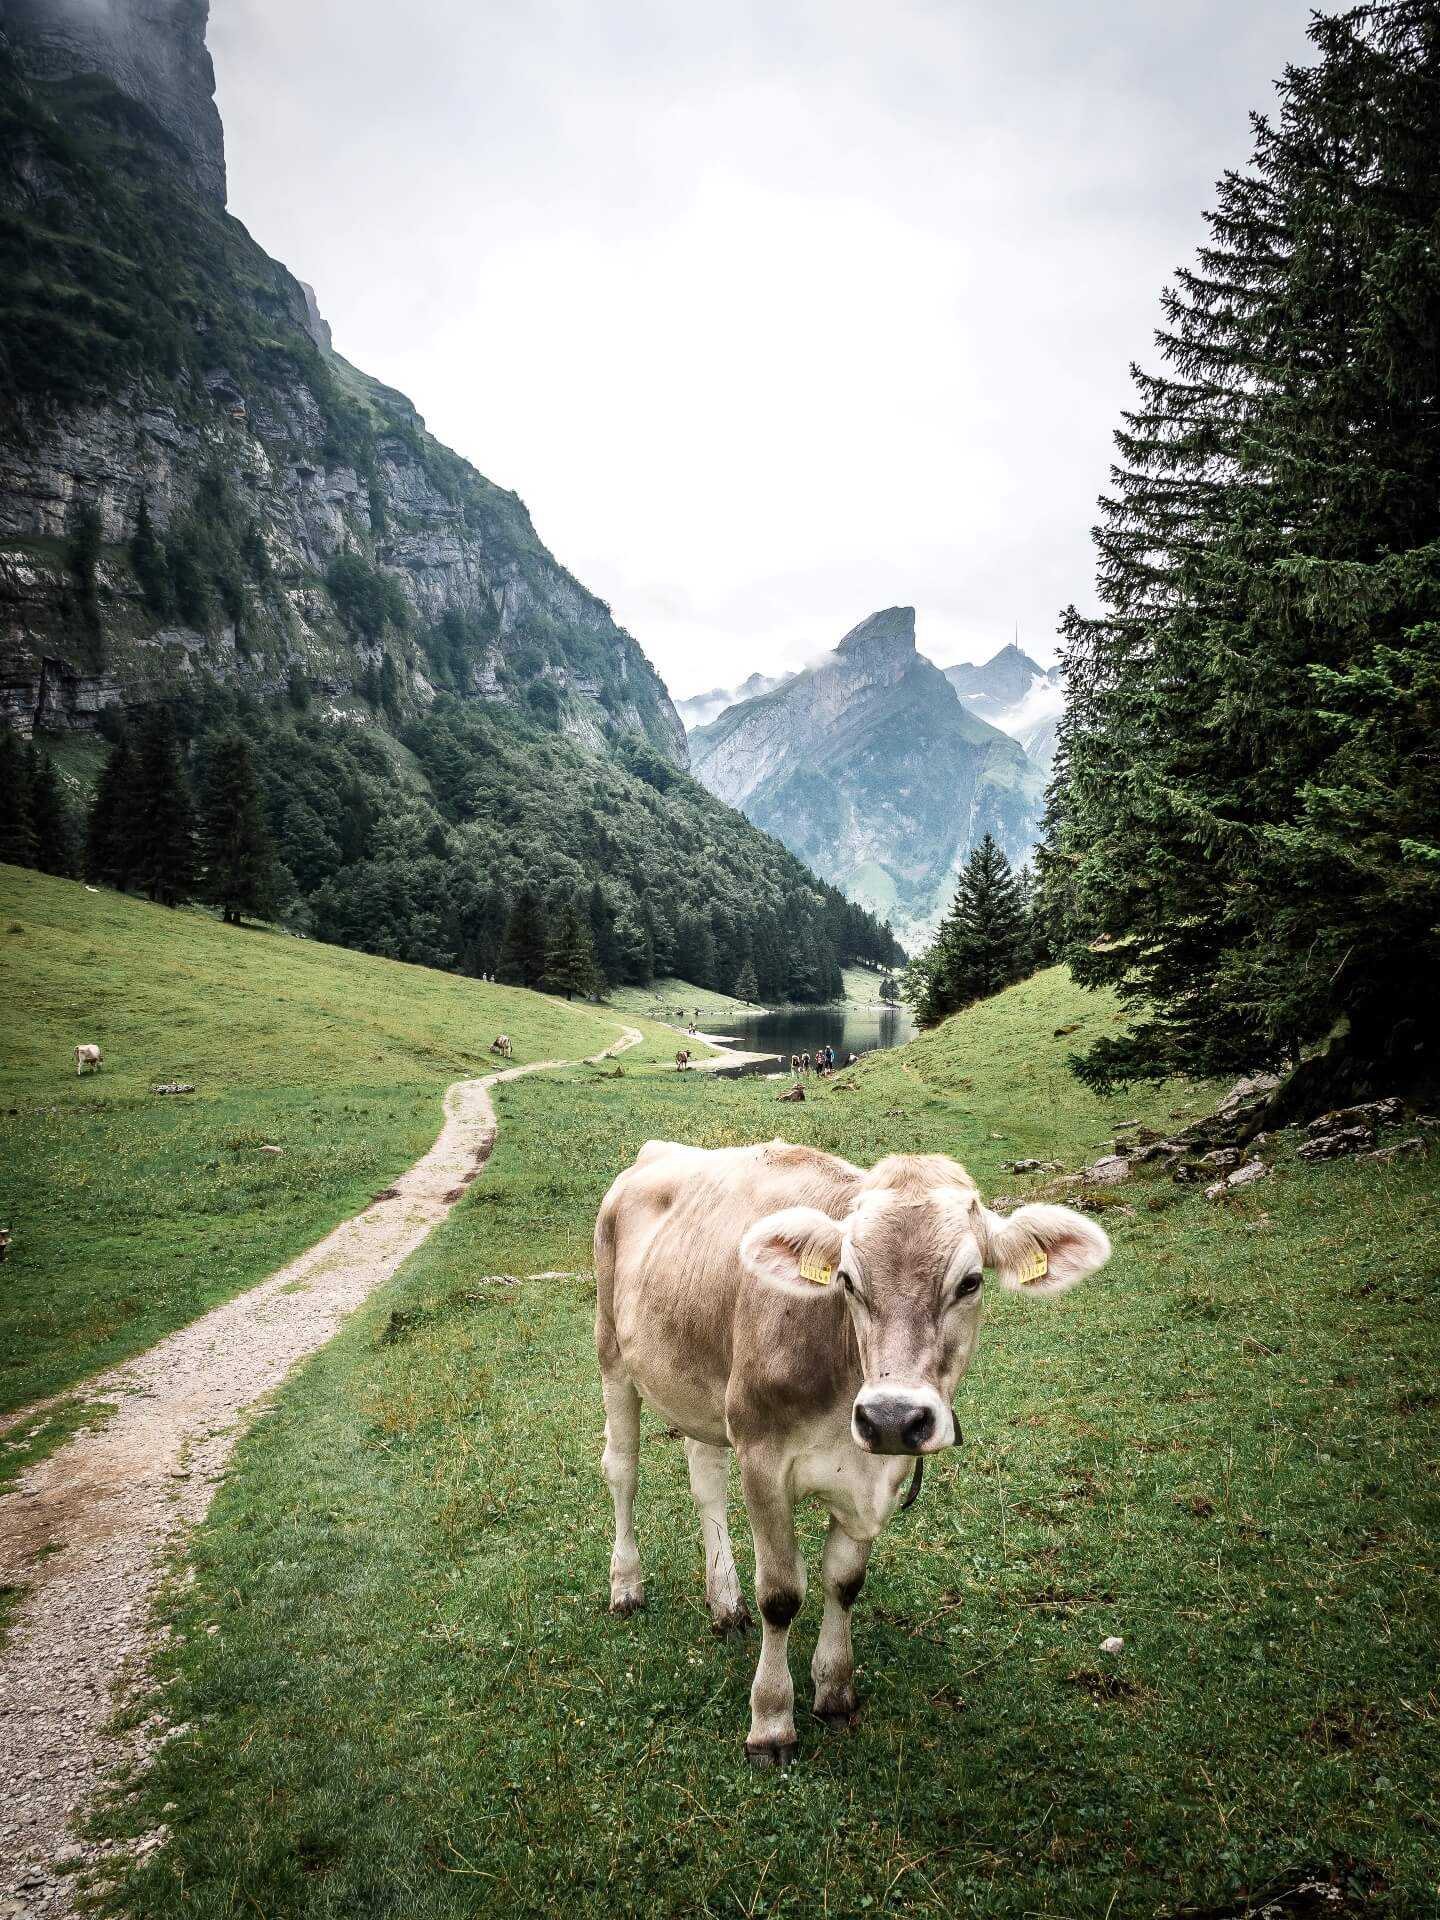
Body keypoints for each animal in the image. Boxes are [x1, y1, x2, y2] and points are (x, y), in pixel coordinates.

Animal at [599, 1136, 1113, 1766]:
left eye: (970, 1282)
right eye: (846, 1278)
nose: (892, 1416)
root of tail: (656, 1151)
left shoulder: (875, 1474)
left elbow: (843, 1583)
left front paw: (835, 1690)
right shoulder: (762, 1456)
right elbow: (781, 1595)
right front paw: (772, 1721)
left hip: (702, 1385)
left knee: (705, 1478)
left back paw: (725, 1603)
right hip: (613, 1354)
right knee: (623, 1470)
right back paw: (627, 1586)